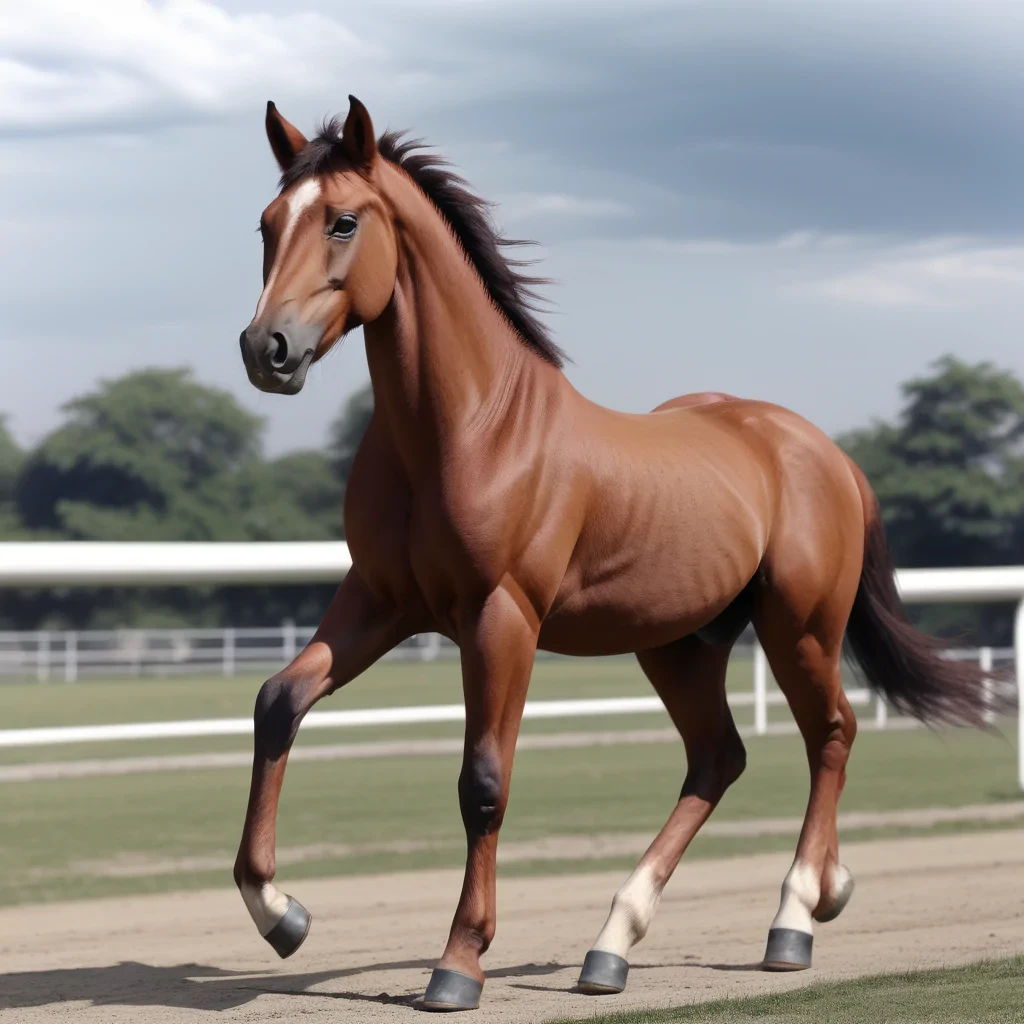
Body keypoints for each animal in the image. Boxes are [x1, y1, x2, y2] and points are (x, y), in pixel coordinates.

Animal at [233, 96, 995, 1011]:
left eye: (343, 221)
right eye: (267, 224)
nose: (266, 348)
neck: (472, 428)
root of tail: (827, 454)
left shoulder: (501, 619)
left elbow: (483, 783)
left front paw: (458, 964)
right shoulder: (380, 602)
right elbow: (278, 701)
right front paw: (281, 914)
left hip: (800, 629)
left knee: (831, 736)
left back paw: (796, 917)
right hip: (679, 645)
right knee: (719, 758)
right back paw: (620, 944)